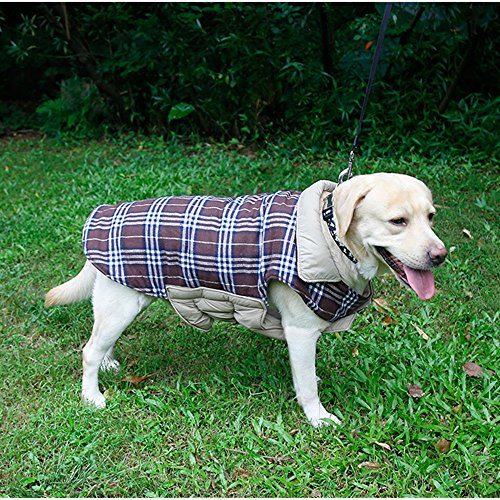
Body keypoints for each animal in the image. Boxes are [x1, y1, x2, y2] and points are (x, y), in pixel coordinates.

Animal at [46, 173, 447, 427]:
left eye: (430, 217)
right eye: (398, 221)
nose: (440, 255)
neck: (329, 234)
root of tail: (104, 215)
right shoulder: (301, 332)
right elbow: (308, 385)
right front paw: (317, 418)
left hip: (123, 299)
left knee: (101, 340)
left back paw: (109, 363)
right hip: (122, 304)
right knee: (89, 350)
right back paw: (91, 396)